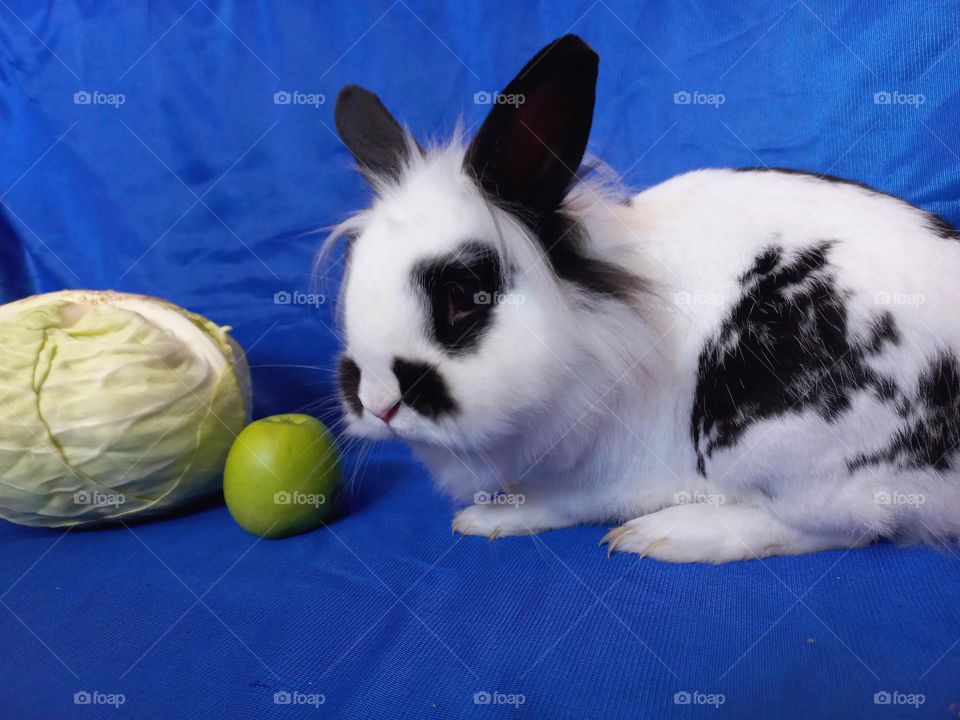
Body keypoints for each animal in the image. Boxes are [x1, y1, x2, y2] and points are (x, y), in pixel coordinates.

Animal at [326, 34, 960, 563]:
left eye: (464, 299)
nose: (380, 403)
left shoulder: (602, 472)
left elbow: (559, 503)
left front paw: (486, 519)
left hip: (786, 444)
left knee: (834, 526)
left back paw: (667, 535)